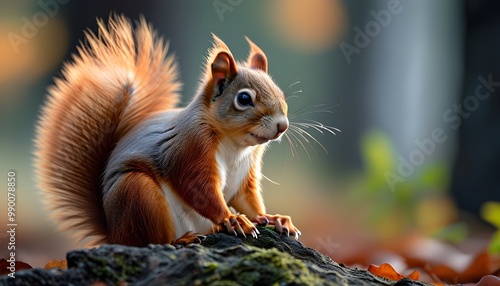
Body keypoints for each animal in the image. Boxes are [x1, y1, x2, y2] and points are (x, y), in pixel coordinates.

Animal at [36, 15, 300, 246]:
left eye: (280, 93)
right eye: (244, 98)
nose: (282, 125)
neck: (235, 145)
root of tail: (112, 235)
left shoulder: (246, 171)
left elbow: (247, 199)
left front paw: (271, 218)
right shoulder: (190, 148)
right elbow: (199, 189)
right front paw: (232, 219)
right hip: (138, 193)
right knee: (149, 241)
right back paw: (182, 240)